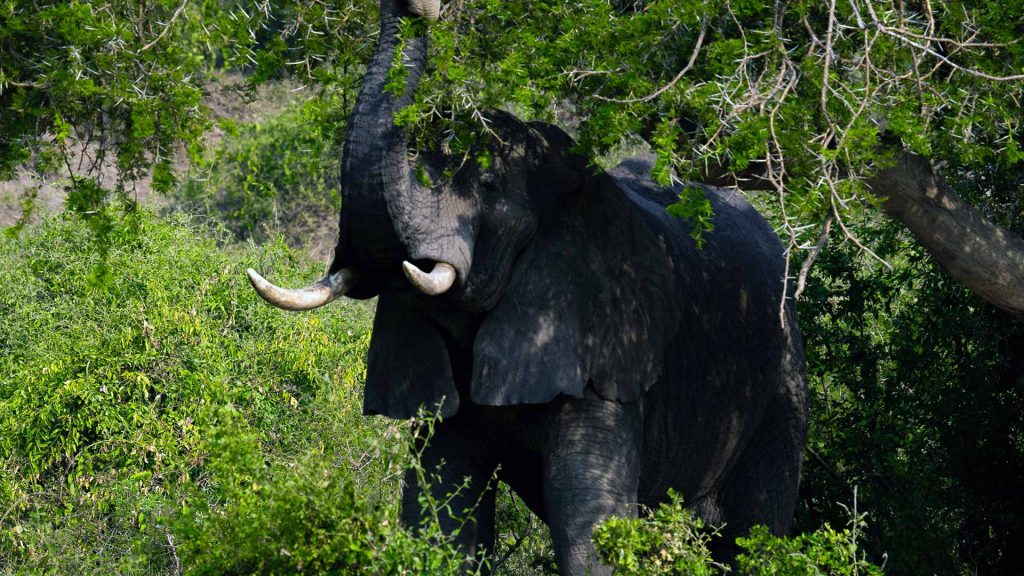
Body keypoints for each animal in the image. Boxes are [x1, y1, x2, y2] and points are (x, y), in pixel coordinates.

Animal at [247, 1, 806, 569]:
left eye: (487, 186)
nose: (421, 7)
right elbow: (439, 520)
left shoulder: (599, 344)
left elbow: (588, 531)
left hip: (781, 385)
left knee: (754, 532)